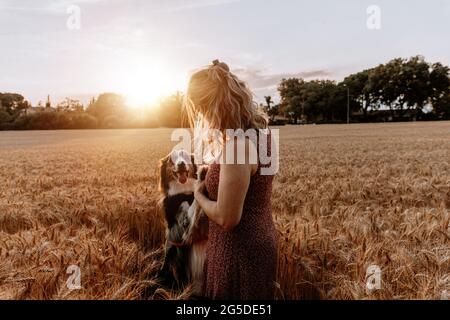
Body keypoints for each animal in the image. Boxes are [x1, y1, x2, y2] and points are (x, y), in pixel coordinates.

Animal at [157, 150, 208, 296]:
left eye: (185, 155)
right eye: (171, 158)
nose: (181, 164)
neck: (184, 191)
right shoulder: (184, 227)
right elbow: (193, 203)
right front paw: (202, 174)